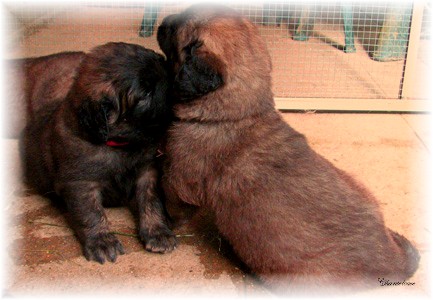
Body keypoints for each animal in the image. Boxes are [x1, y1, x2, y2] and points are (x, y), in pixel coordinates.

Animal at [20, 41, 176, 262]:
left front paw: (158, 232)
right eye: (145, 93)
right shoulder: (80, 183)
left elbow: (151, 201)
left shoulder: (147, 171)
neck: (119, 144)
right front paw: (102, 241)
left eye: (162, 63)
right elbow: (91, 214)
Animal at [158, 4, 418, 296]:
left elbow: (174, 205)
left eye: (177, 28)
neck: (237, 114)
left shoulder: (179, 181)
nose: (163, 21)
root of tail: (392, 261)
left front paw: (166, 223)